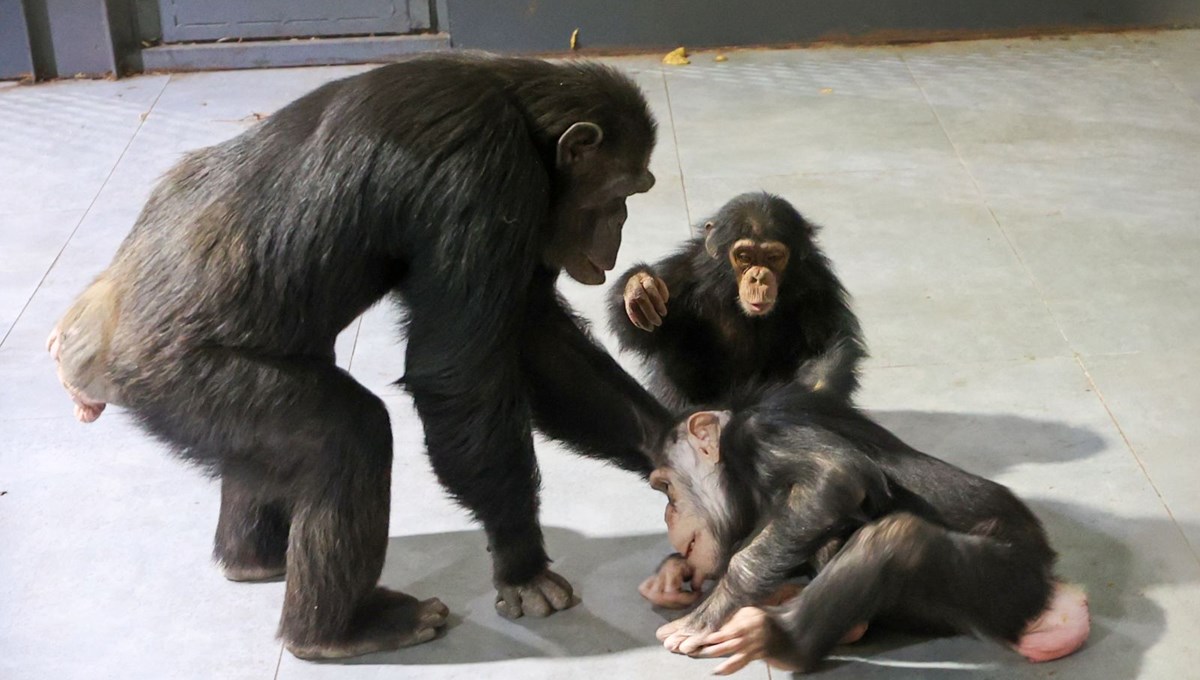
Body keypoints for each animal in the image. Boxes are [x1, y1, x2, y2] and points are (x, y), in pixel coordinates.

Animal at [46, 55, 676, 662]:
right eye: (620, 194)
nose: (620, 226)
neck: (525, 125)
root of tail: (78, 345)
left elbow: (532, 337)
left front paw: (671, 446)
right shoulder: (488, 179)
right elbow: (459, 372)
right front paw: (523, 562)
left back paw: (257, 558)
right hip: (175, 380)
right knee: (348, 434)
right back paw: (339, 630)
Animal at [609, 193, 864, 414]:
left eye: (773, 257)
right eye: (744, 257)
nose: (758, 277)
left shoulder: (819, 288)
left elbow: (825, 345)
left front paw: (815, 393)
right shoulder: (678, 278)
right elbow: (644, 332)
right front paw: (639, 288)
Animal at [648, 378, 1089, 676]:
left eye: (666, 488)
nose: (667, 513)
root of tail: (1054, 586)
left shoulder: (759, 433)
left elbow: (835, 478)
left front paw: (704, 616)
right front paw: (670, 575)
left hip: (1010, 583)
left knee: (895, 539)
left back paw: (779, 641)